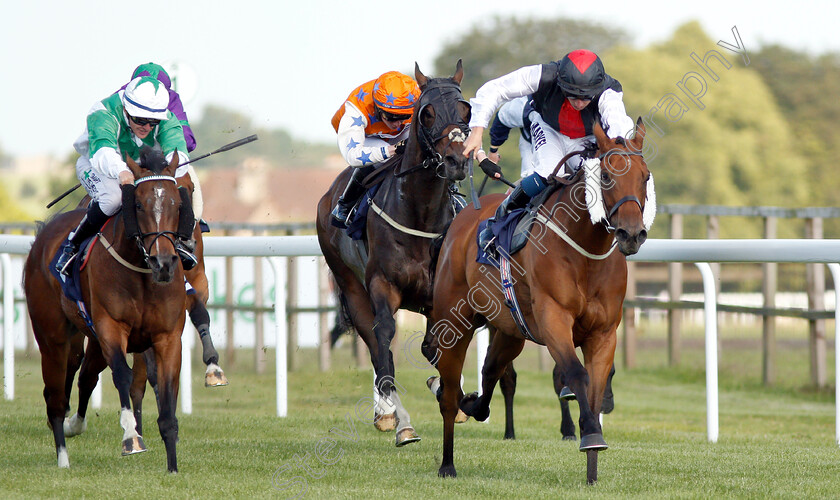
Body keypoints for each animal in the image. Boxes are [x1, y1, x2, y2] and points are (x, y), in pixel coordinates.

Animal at [27, 146, 191, 470]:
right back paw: (63, 457)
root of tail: (44, 234)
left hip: (87, 339)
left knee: (84, 375)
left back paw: (73, 426)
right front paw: (131, 438)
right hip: (52, 336)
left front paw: (173, 467)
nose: (163, 263)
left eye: (178, 204)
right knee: (55, 396)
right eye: (138, 204)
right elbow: (123, 376)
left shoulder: (167, 338)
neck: (142, 272)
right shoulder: (111, 328)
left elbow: (166, 393)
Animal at [316, 60, 472, 448]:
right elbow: (385, 341)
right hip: (351, 286)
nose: (456, 161)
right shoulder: (382, 285)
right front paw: (398, 417)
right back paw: (391, 415)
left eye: (466, 110)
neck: (421, 214)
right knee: (375, 346)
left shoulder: (439, 296)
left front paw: (448, 390)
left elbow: (435, 346)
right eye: (426, 113)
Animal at [430, 118, 652, 484]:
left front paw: (592, 470)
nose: (632, 234)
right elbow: (576, 374)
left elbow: (595, 388)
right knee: (448, 393)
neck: (585, 253)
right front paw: (589, 434)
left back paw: (474, 405)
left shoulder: (604, 333)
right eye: (606, 175)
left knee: (492, 370)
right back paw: (447, 463)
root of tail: (464, 218)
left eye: (645, 176)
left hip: (510, 331)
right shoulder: (554, 320)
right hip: (454, 322)